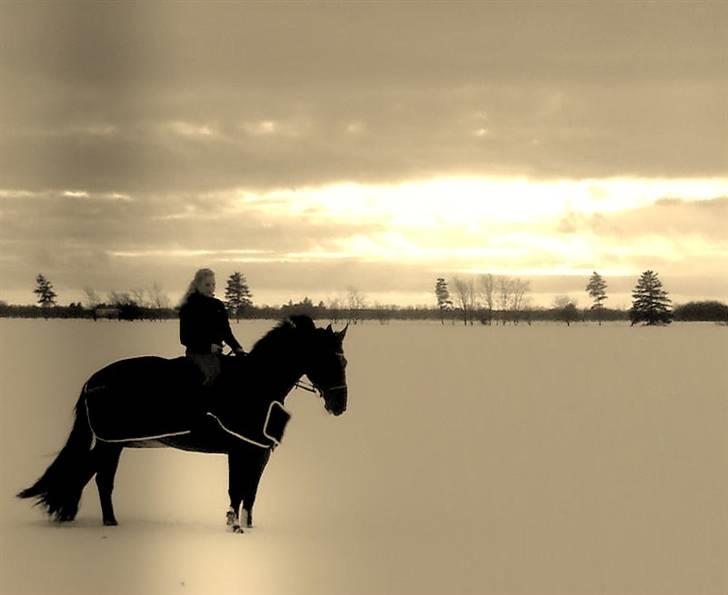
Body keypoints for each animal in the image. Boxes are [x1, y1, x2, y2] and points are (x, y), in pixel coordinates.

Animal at [16, 316, 346, 536]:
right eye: (327, 359)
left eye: (343, 362)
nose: (340, 405)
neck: (255, 384)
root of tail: (93, 380)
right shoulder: (240, 450)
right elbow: (237, 490)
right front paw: (235, 527)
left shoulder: (257, 453)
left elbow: (249, 493)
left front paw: (247, 527)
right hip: (110, 444)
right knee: (100, 480)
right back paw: (110, 524)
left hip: (113, 444)